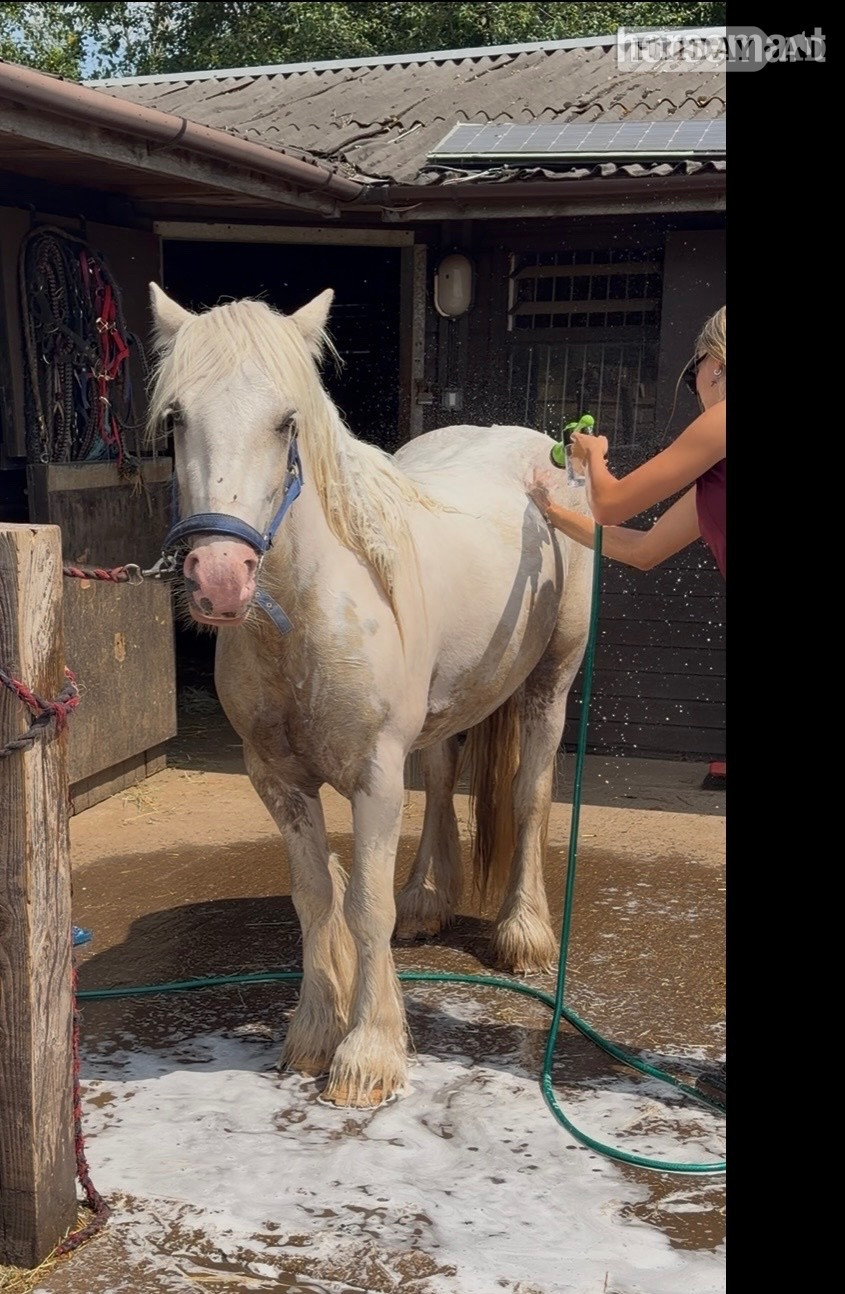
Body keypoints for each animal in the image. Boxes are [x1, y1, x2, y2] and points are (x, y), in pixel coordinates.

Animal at [147, 284, 594, 1109]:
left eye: (287, 421)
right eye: (176, 419)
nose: (220, 579)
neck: (305, 615)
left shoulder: (375, 778)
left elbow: (363, 905)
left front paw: (368, 1055)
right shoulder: (278, 781)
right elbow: (315, 897)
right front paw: (315, 1034)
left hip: (550, 681)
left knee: (529, 795)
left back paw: (523, 935)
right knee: (446, 781)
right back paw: (427, 903)